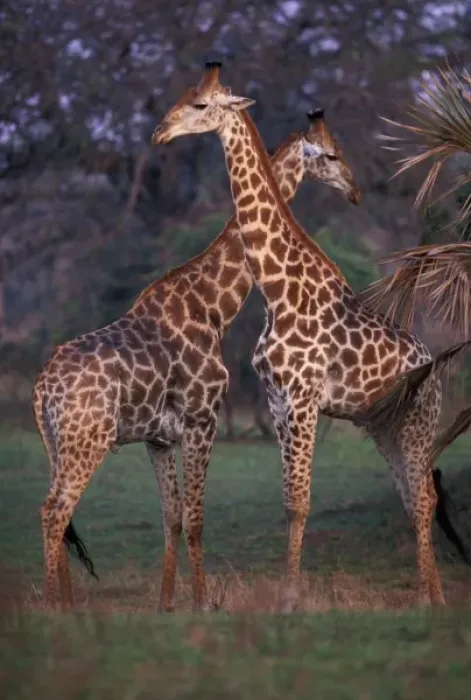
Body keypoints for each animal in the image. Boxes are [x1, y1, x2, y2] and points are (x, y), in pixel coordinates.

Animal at [33, 108, 359, 612]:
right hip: (87, 439)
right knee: (53, 511)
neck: (213, 305)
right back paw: (55, 607)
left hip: (59, 443)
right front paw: (203, 603)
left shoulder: (158, 438)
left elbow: (171, 517)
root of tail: (40, 390)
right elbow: (196, 518)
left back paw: (67, 602)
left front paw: (167, 603)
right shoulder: (203, 418)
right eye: (331, 154)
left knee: (60, 511)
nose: (354, 189)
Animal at [152, 62, 445, 611]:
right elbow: (289, 499)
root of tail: (433, 366)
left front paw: (291, 597)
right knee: (415, 495)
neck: (275, 289)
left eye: (200, 105)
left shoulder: (305, 398)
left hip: (419, 421)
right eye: (183, 97)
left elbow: (301, 502)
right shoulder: (277, 401)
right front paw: (288, 593)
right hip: (386, 427)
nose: (160, 131)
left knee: (424, 497)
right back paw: (432, 594)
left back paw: (427, 600)